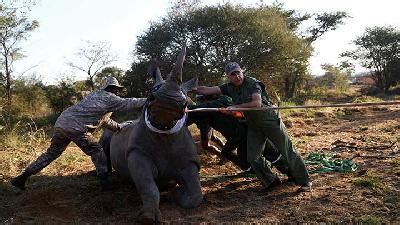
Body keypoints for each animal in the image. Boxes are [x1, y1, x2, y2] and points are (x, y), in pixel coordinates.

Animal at [104, 44, 203, 223]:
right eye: (151, 93)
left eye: (186, 101)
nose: (169, 101)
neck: (163, 129)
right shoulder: (136, 152)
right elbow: (148, 186)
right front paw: (148, 217)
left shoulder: (190, 161)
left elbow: (196, 194)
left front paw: (176, 194)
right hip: (113, 131)